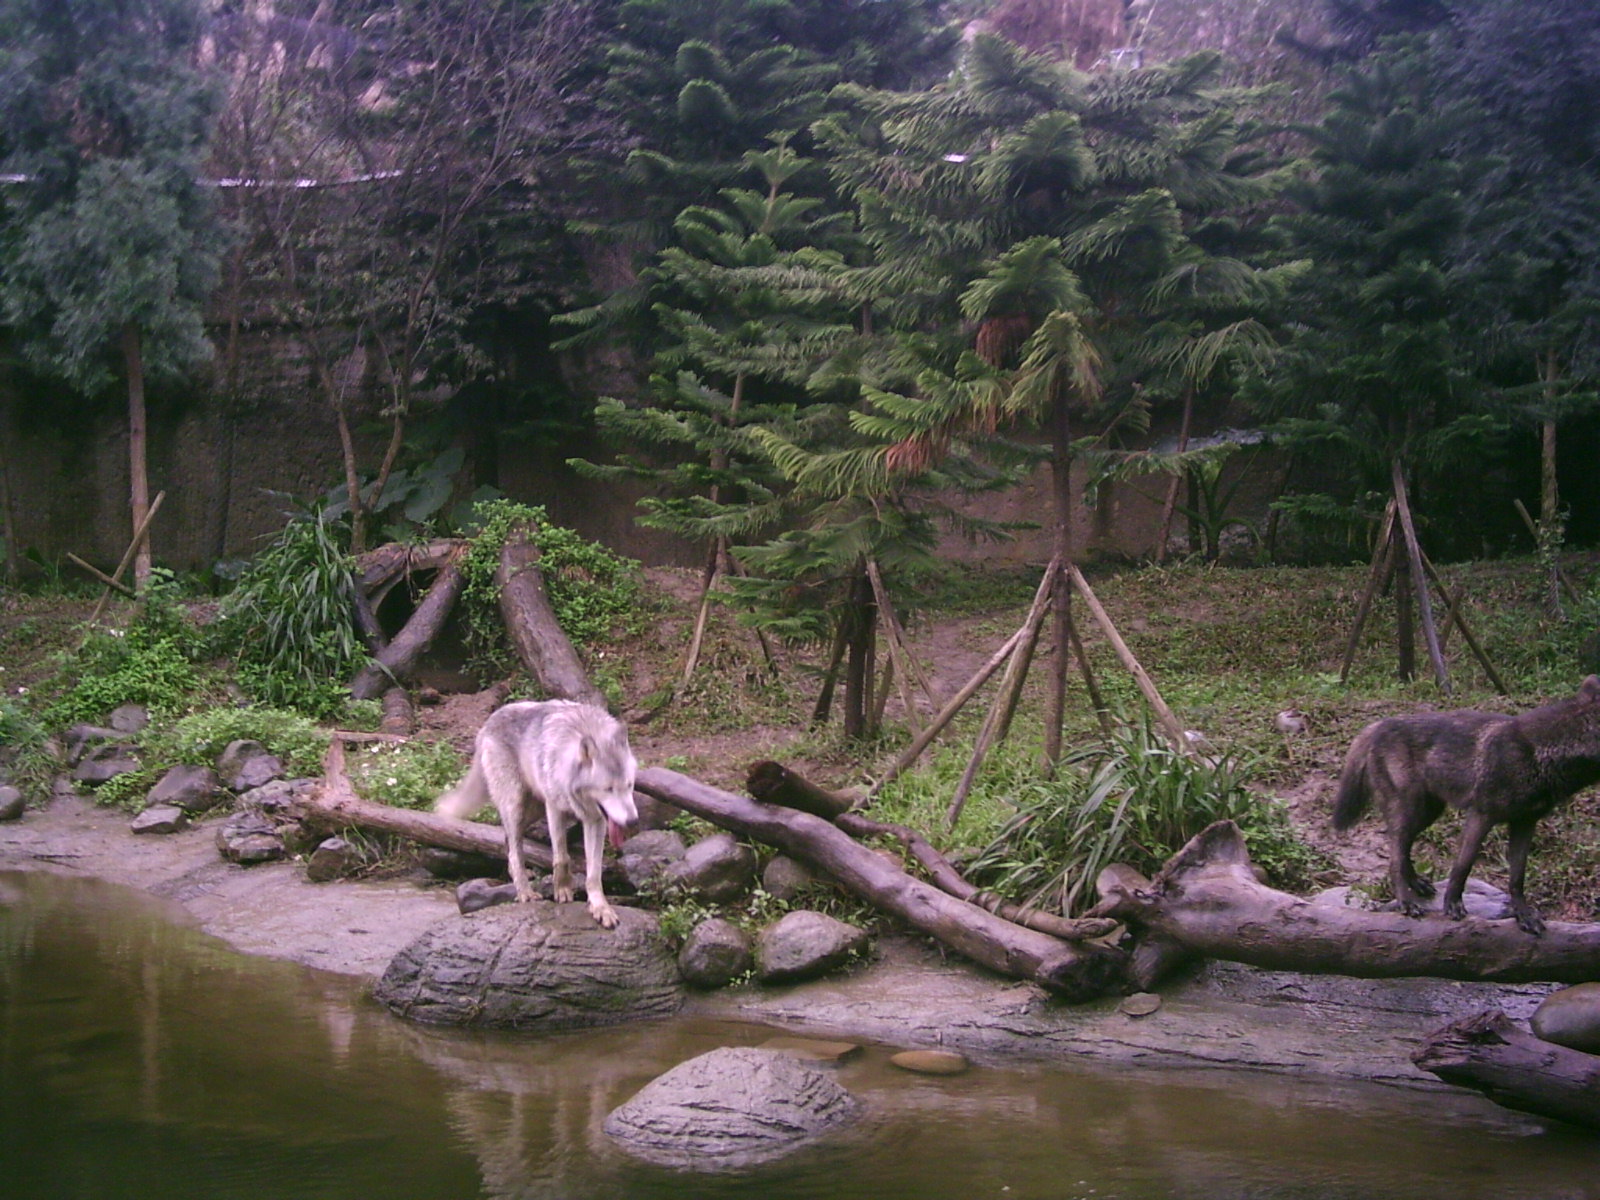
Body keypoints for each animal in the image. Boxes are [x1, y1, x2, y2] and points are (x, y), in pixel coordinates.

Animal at [436, 700, 639, 928]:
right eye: (608, 789)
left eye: (629, 785)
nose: (632, 821)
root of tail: (489, 722)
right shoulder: (554, 809)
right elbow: (562, 857)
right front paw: (562, 889)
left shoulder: (596, 821)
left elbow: (594, 873)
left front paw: (600, 907)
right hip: (516, 805)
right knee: (515, 850)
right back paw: (525, 892)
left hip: (532, 811)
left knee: (507, 840)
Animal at [1332, 675, 1600, 935]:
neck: (1539, 752)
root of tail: (1378, 725)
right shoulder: (1481, 815)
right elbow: (1463, 865)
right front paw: (1452, 905)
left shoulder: (1525, 823)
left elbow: (1517, 877)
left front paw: (1523, 914)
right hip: (1412, 811)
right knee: (1394, 858)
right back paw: (1405, 903)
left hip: (1428, 813)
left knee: (1403, 850)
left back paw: (1417, 885)